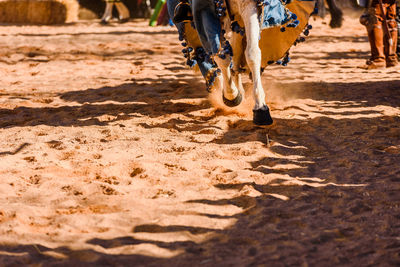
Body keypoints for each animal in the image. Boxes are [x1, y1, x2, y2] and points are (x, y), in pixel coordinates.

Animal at [168, 0, 316, 125]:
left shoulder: (249, 6)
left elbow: (252, 53)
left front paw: (260, 108)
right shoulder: (205, 12)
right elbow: (220, 55)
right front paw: (231, 95)